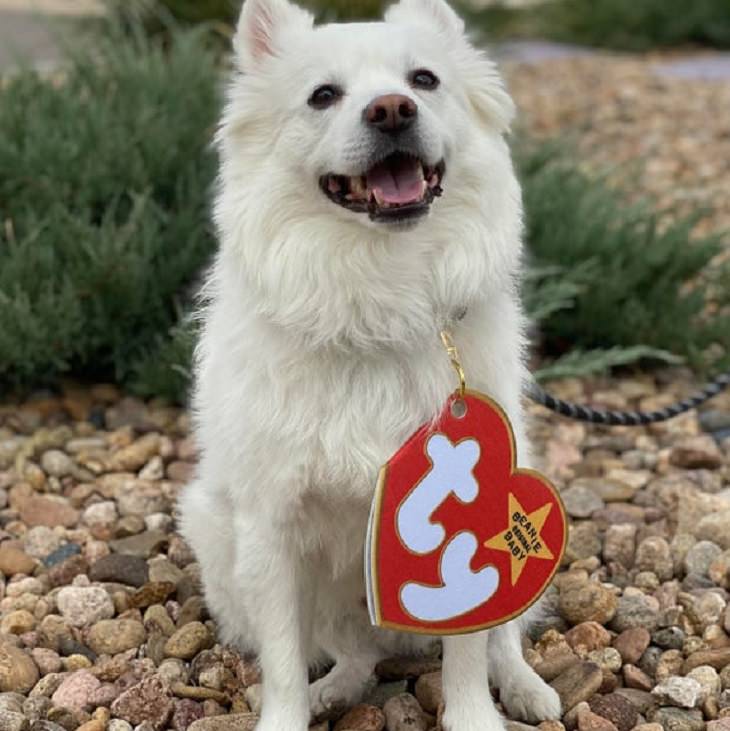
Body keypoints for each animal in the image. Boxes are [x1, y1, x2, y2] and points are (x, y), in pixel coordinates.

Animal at [179, 0, 560, 728]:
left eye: (424, 80)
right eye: (323, 96)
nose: (391, 110)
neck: (378, 294)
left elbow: (468, 653)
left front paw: (475, 716)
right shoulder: (271, 527)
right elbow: (282, 662)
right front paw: (288, 716)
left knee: (503, 640)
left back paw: (527, 688)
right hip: (221, 538)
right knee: (349, 653)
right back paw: (335, 690)